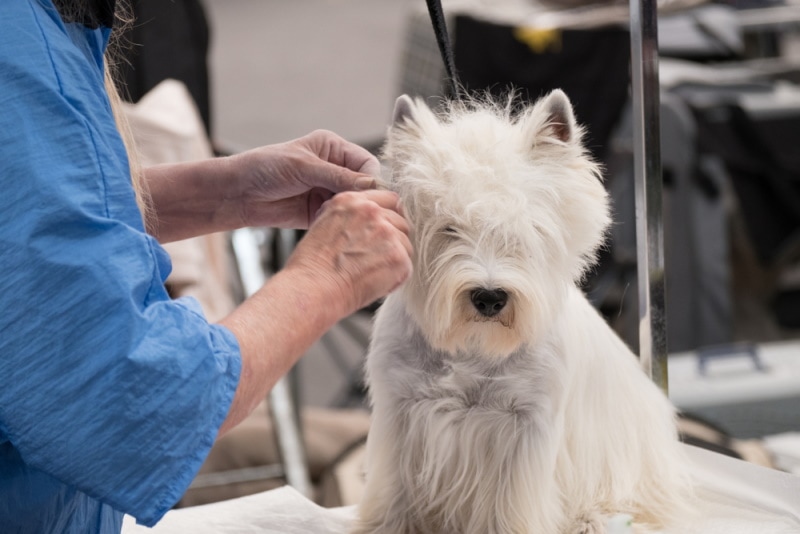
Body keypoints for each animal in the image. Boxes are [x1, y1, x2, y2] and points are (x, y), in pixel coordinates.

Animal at [352, 92, 692, 534]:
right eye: (448, 228)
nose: (489, 298)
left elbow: (509, 509)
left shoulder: (527, 425)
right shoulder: (400, 411)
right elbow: (394, 498)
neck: (475, 344)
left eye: (526, 229)